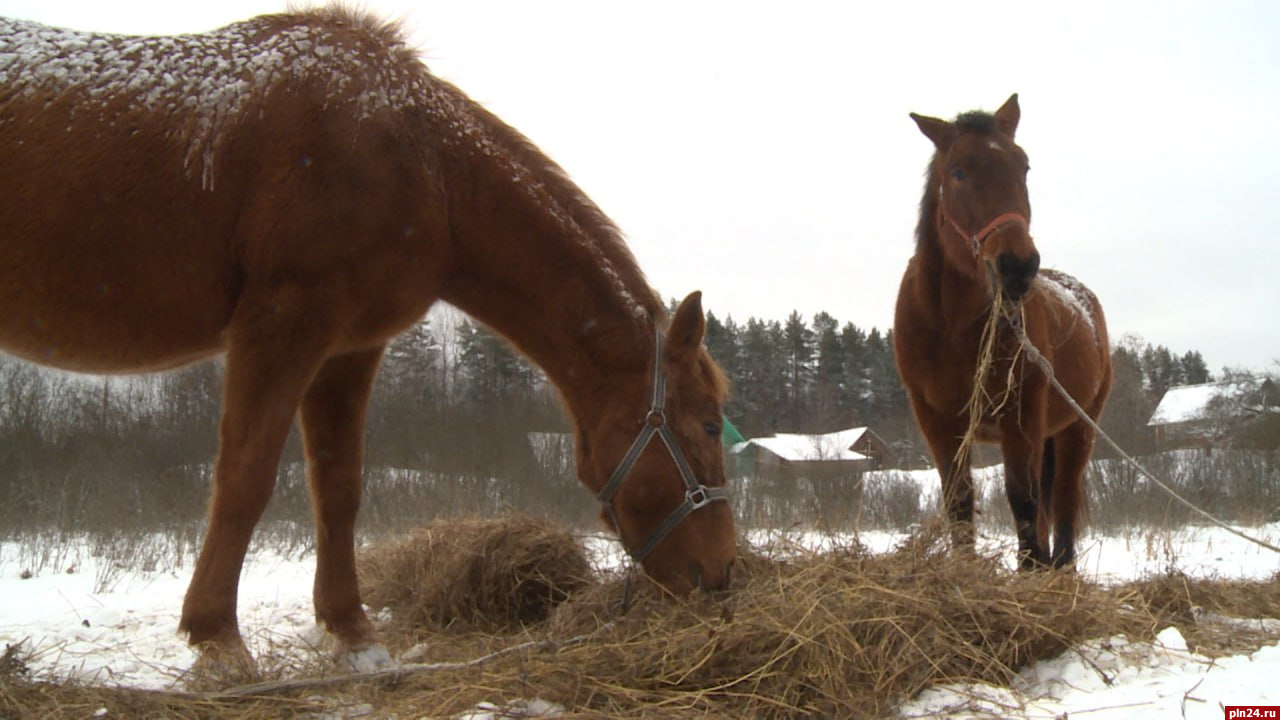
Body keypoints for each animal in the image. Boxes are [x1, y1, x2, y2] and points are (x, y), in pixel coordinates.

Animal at [0, 9, 737, 671]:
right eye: (708, 424)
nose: (724, 573)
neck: (420, 162)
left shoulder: (348, 347)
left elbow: (340, 486)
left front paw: (351, 632)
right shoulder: (282, 323)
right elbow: (246, 476)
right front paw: (218, 639)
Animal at [896, 94, 1116, 566]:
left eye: (1024, 166)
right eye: (957, 172)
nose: (1017, 267)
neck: (952, 327)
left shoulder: (1021, 419)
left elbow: (1023, 502)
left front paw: (1030, 570)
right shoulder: (938, 422)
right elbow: (959, 503)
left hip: (1076, 430)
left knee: (1063, 506)